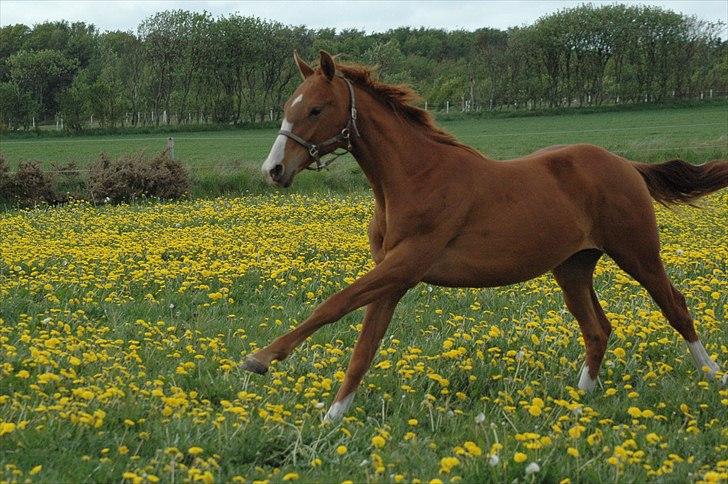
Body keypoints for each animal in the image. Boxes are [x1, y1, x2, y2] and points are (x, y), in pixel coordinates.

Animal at [246, 50, 728, 420]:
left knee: (676, 307)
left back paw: (711, 376)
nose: (274, 170)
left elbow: (333, 305)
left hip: (638, 253)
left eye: (315, 109)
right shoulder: (392, 275)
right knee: (598, 328)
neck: (414, 177)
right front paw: (332, 417)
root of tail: (626, 164)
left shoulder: (407, 263)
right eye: (288, 106)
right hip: (572, 267)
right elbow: (364, 346)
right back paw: (579, 400)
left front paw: (260, 359)